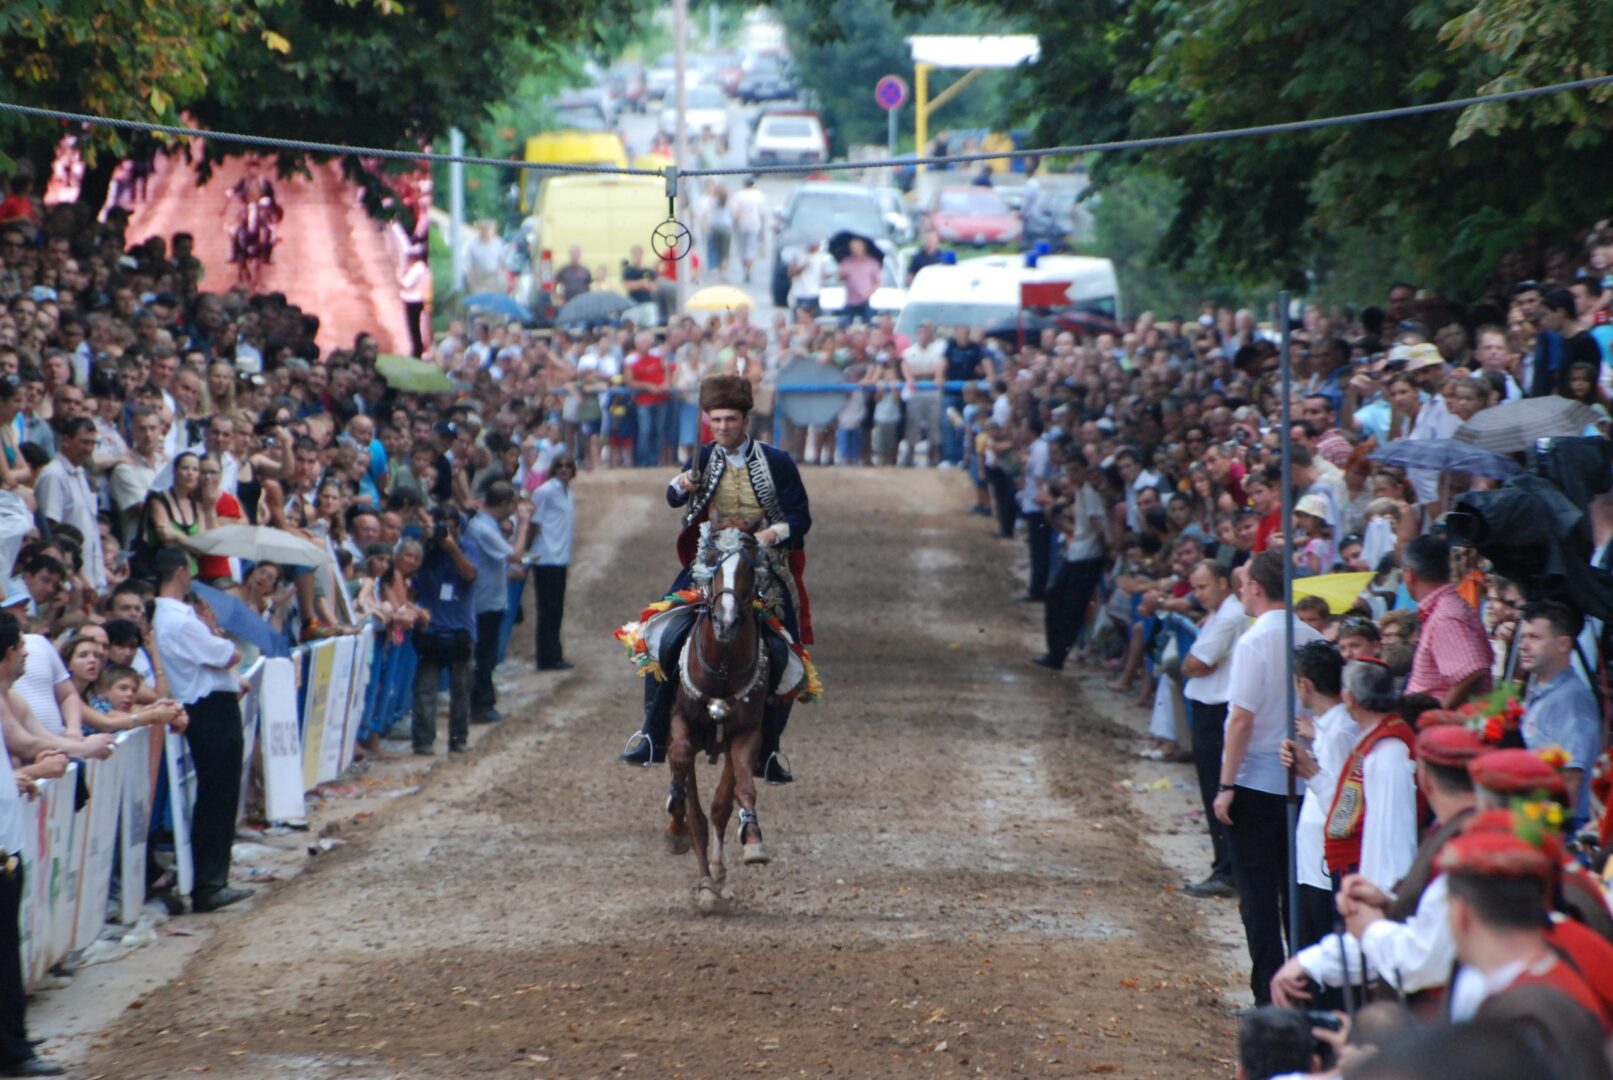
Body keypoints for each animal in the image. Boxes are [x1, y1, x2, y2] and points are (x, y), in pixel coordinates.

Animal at [664, 525, 771, 915]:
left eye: (749, 569)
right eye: (711, 562)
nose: (725, 622)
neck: (722, 666)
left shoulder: (746, 735)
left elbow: (739, 792)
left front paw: (753, 842)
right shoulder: (681, 724)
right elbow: (683, 770)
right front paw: (676, 826)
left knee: (721, 804)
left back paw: (716, 873)